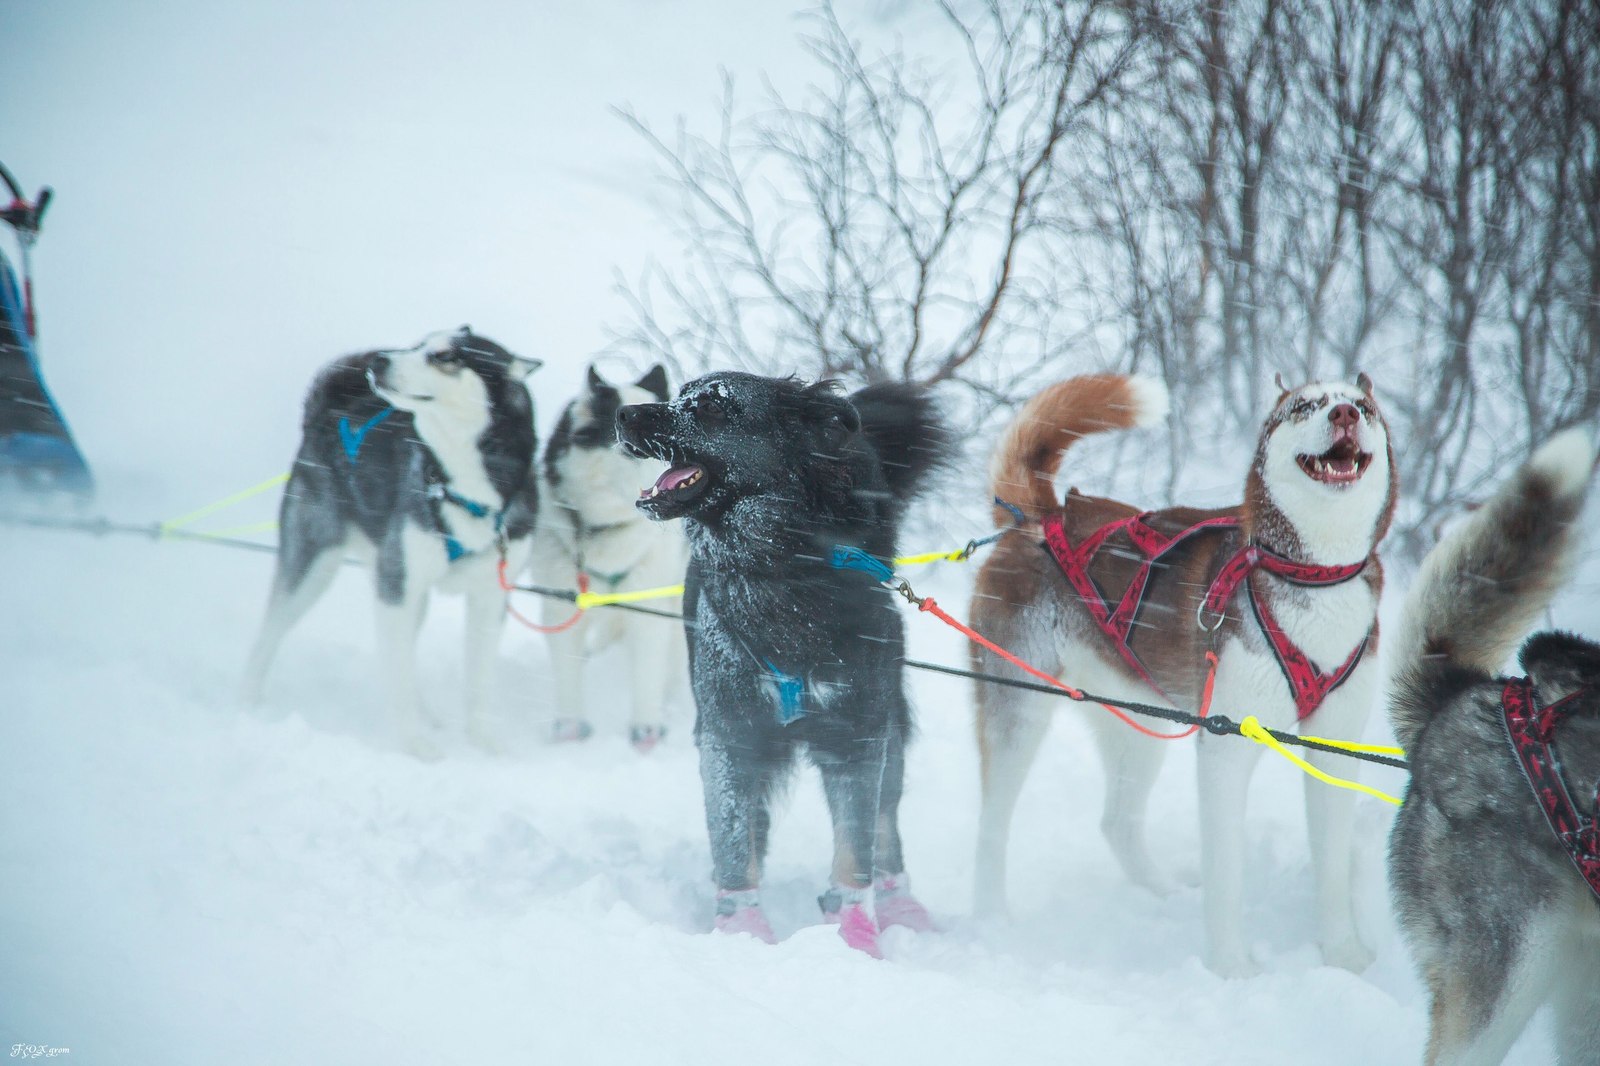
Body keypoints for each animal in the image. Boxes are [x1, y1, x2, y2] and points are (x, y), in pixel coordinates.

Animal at [617, 369, 947, 947]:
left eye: (712, 407)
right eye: (680, 394)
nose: (621, 414)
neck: (779, 564)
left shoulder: (857, 734)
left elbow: (856, 848)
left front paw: (855, 936)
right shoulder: (730, 734)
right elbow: (732, 839)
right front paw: (742, 930)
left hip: (887, 726)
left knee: (885, 825)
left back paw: (898, 904)